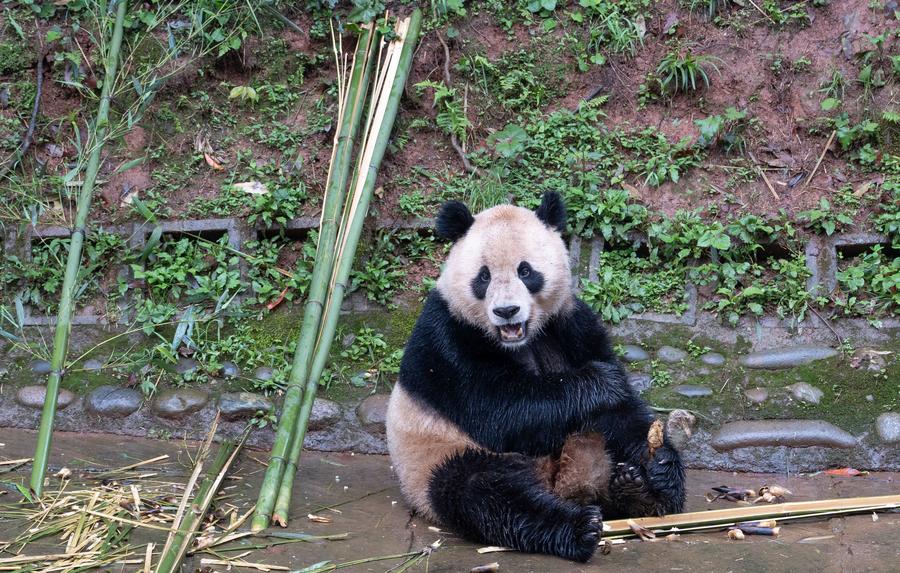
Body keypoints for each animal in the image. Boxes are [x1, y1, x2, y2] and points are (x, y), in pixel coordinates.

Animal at [384, 192, 684, 560]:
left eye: (525, 271)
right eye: (483, 277)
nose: (506, 311)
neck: (520, 339)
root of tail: (558, 484)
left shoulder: (571, 323)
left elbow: (622, 413)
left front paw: (663, 470)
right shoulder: (447, 338)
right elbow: (499, 411)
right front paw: (601, 382)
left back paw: (636, 493)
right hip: (436, 458)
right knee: (486, 493)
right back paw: (578, 528)